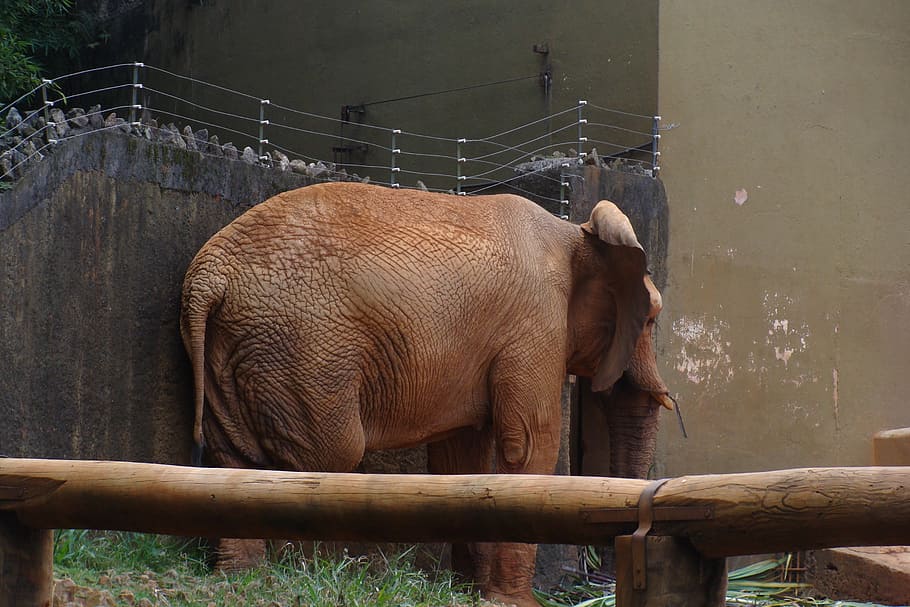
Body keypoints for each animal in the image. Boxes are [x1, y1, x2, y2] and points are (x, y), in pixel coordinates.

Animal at [179, 181, 672, 607]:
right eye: (652, 318)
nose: (599, 579)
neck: (574, 230)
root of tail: (208, 276)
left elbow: (462, 459)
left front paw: (470, 593)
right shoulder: (535, 322)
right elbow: (530, 444)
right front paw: (516, 603)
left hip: (234, 348)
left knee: (232, 458)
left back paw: (242, 577)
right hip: (303, 350)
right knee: (329, 454)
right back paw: (291, 576)